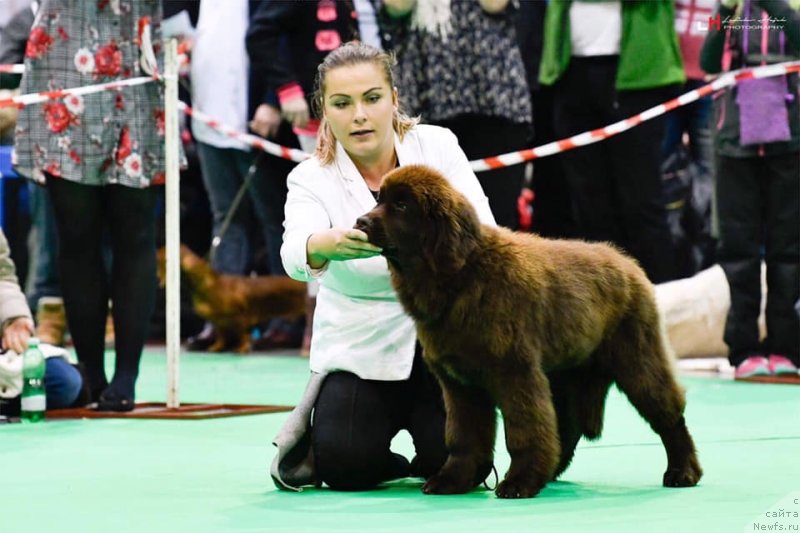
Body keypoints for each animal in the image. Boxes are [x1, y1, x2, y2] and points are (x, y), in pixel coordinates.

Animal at [354, 163, 700, 498]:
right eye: (379, 199)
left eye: (401, 205)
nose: (360, 221)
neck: (462, 276)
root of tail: (627, 262)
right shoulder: (461, 384)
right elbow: (464, 436)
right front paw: (453, 480)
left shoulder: (514, 372)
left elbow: (524, 431)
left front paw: (519, 482)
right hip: (564, 372)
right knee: (566, 427)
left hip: (637, 359)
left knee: (669, 415)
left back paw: (683, 472)